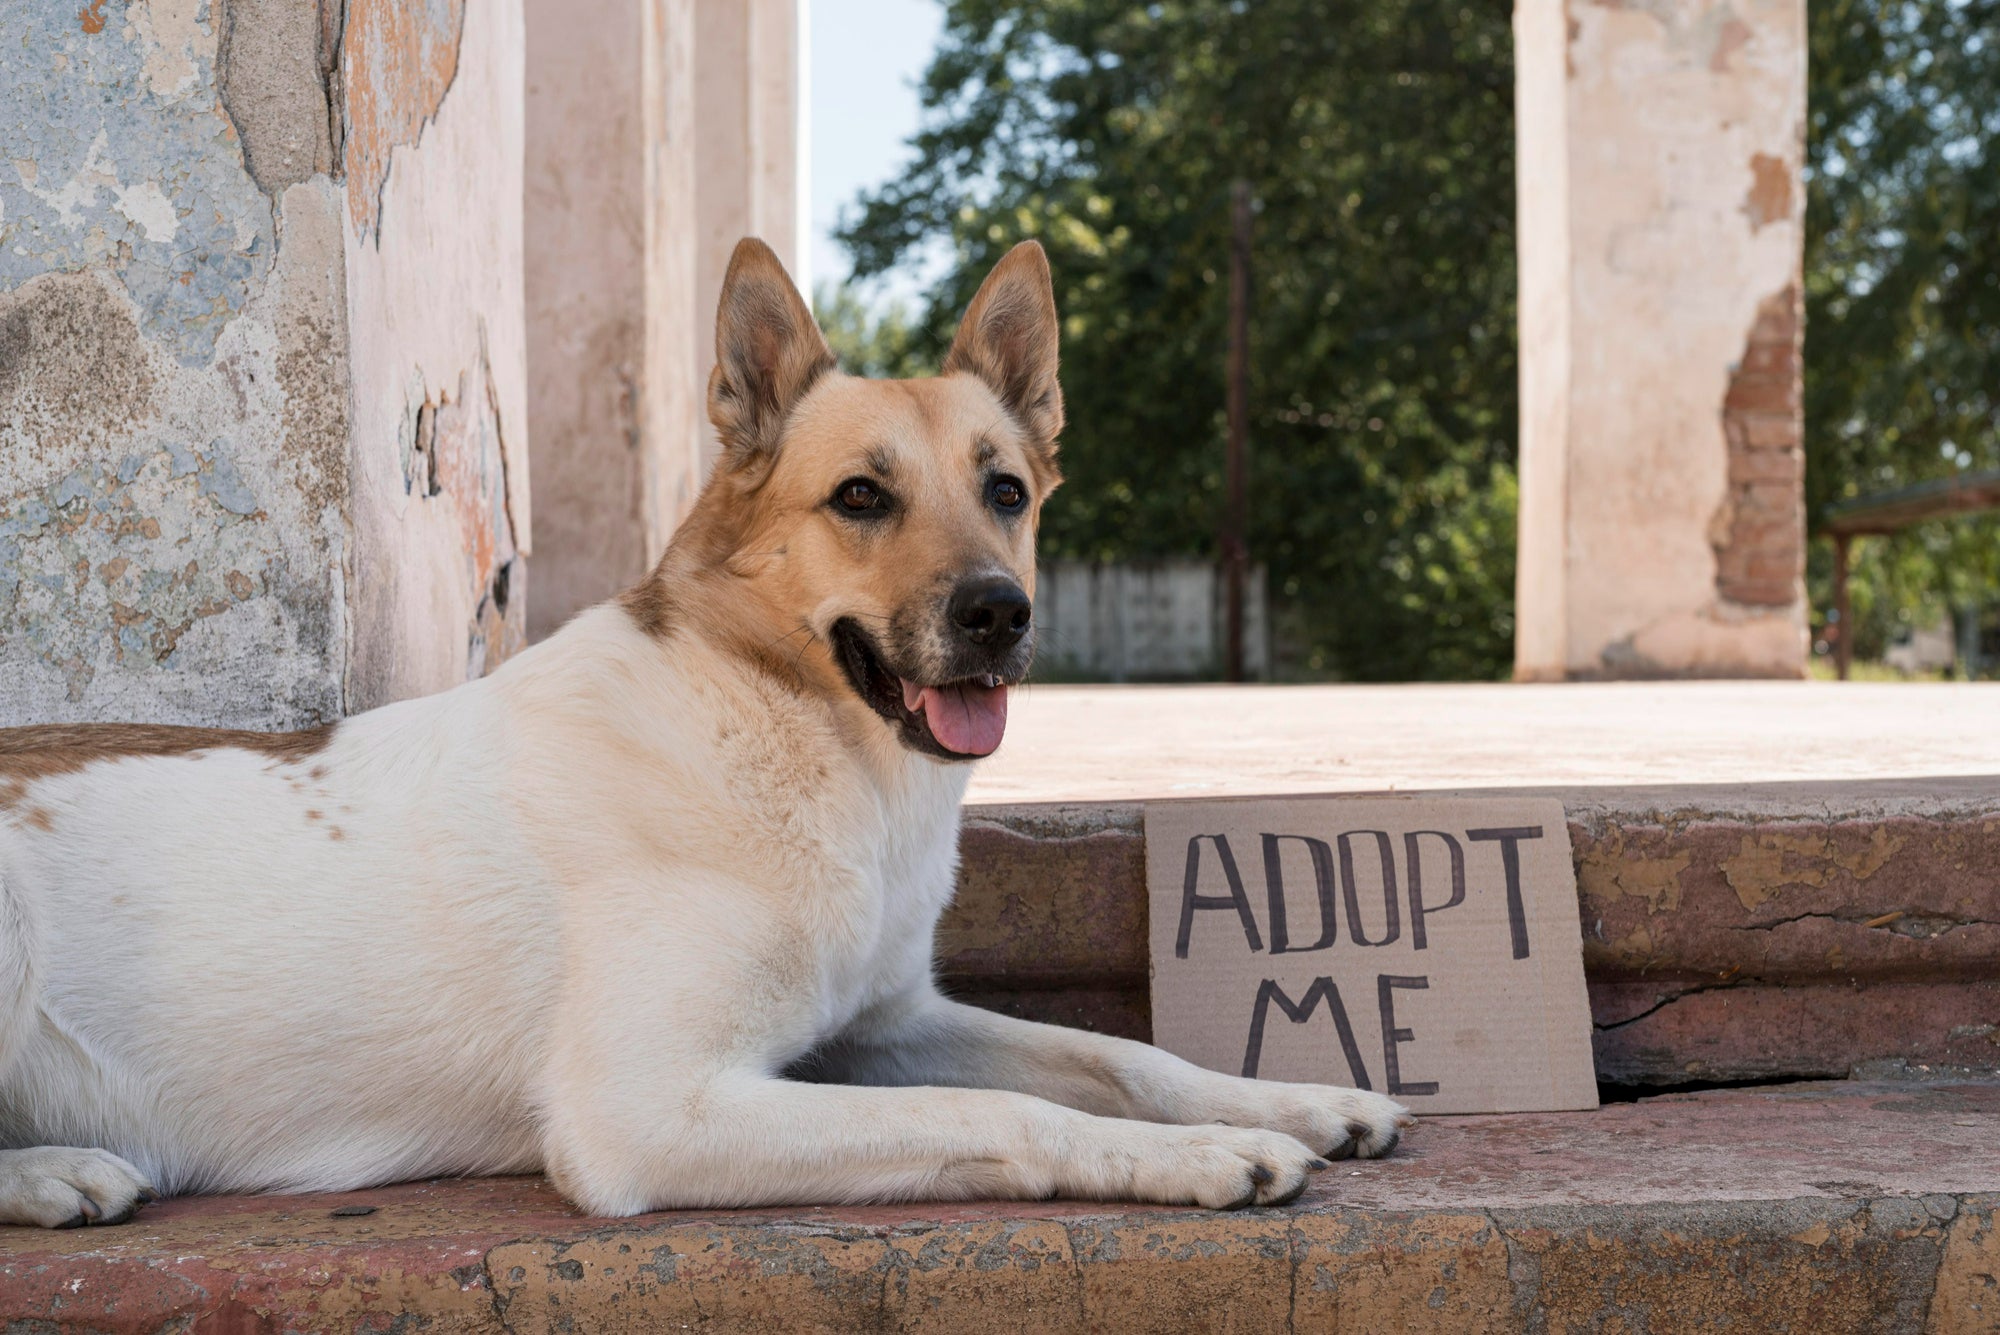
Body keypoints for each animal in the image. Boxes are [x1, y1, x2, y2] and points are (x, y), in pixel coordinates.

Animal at [0, 242, 1408, 1231]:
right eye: (860, 497)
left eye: (1005, 492)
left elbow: (1117, 1054)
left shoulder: (882, 1023)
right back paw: (58, 1172)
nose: (996, 614)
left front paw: (1295, 1100)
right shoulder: (650, 1112)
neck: (810, 751)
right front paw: (1202, 1157)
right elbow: (1009, 1107)